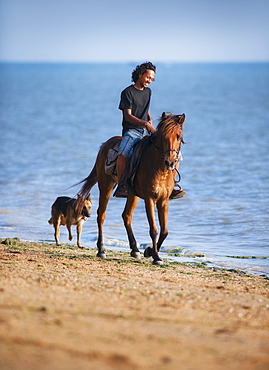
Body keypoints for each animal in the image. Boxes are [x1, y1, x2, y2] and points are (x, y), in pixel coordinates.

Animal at [76, 111, 184, 264]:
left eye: (179, 136)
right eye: (163, 136)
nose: (170, 162)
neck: (159, 169)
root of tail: (104, 145)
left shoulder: (163, 200)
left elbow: (164, 231)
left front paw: (149, 251)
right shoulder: (150, 199)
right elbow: (154, 230)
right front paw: (156, 257)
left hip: (133, 195)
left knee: (126, 216)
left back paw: (135, 250)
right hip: (106, 186)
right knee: (101, 215)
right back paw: (101, 250)